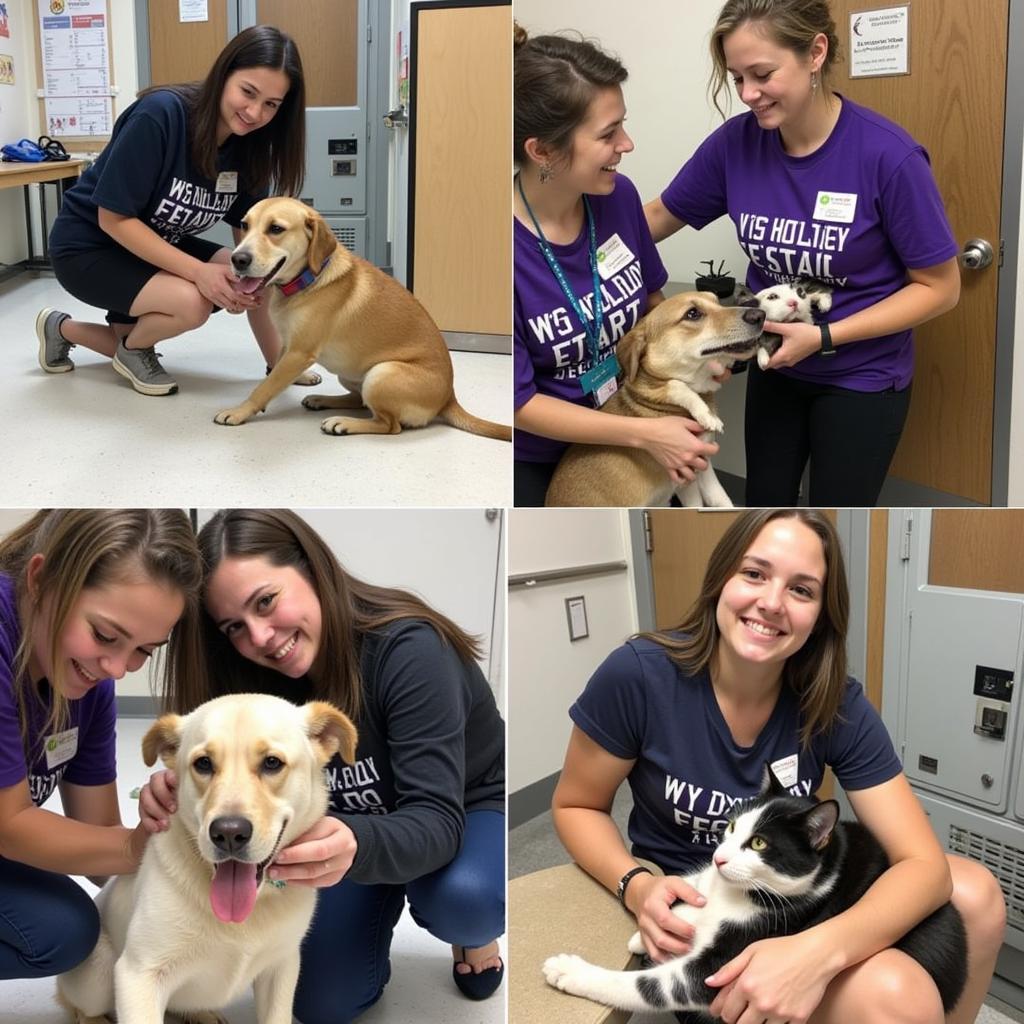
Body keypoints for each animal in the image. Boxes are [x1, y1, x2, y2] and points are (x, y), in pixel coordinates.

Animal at [212, 197, 512, 442]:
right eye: (245, 225)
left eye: (276, 229)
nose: (238, 259)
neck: (308, 280)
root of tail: (448, 398)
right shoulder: (287, 344)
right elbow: (273, 371)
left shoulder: (299, 353)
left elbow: (264, 388)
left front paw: (239, 411)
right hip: (351, 373)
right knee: (359, 401)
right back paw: (323, 400)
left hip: (381, 374)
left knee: (389, 425)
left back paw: (344, 423)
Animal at [544, 770, 966, 1015]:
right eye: (731, 826)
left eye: (760, 843)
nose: (719, 857)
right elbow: (696, 891)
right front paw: (652, 928)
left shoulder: (724, 964)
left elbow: (651, 986)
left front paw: (569, 970)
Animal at [548, 292, 765, 507]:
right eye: (692, 313)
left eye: (717, 302)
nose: (760, 315)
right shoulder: (685, 477)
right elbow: (676, 386)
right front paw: (706, 414)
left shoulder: (699, 467)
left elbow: (719, 499)